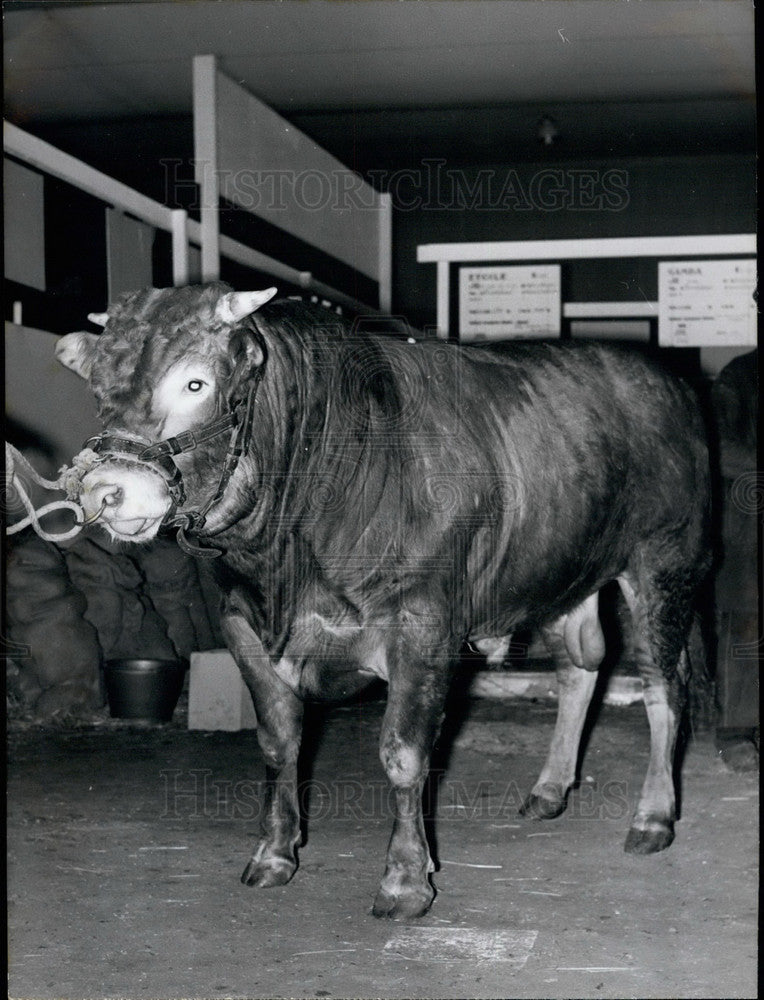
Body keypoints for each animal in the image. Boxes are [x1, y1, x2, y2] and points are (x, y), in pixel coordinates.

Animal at [56, 282, 710, 919]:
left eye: (196, 383)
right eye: (97, 393)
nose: (106, 490)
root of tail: (664, 378)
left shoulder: (423, 627)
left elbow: (403, 752)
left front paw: (405, 882)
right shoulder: (241, 622)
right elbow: (278, 740)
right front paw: (274, 854)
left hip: (664, 562)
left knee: (663, 683)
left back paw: (653, 818)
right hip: (563, 570)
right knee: (580, 668)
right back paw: (549, 790)